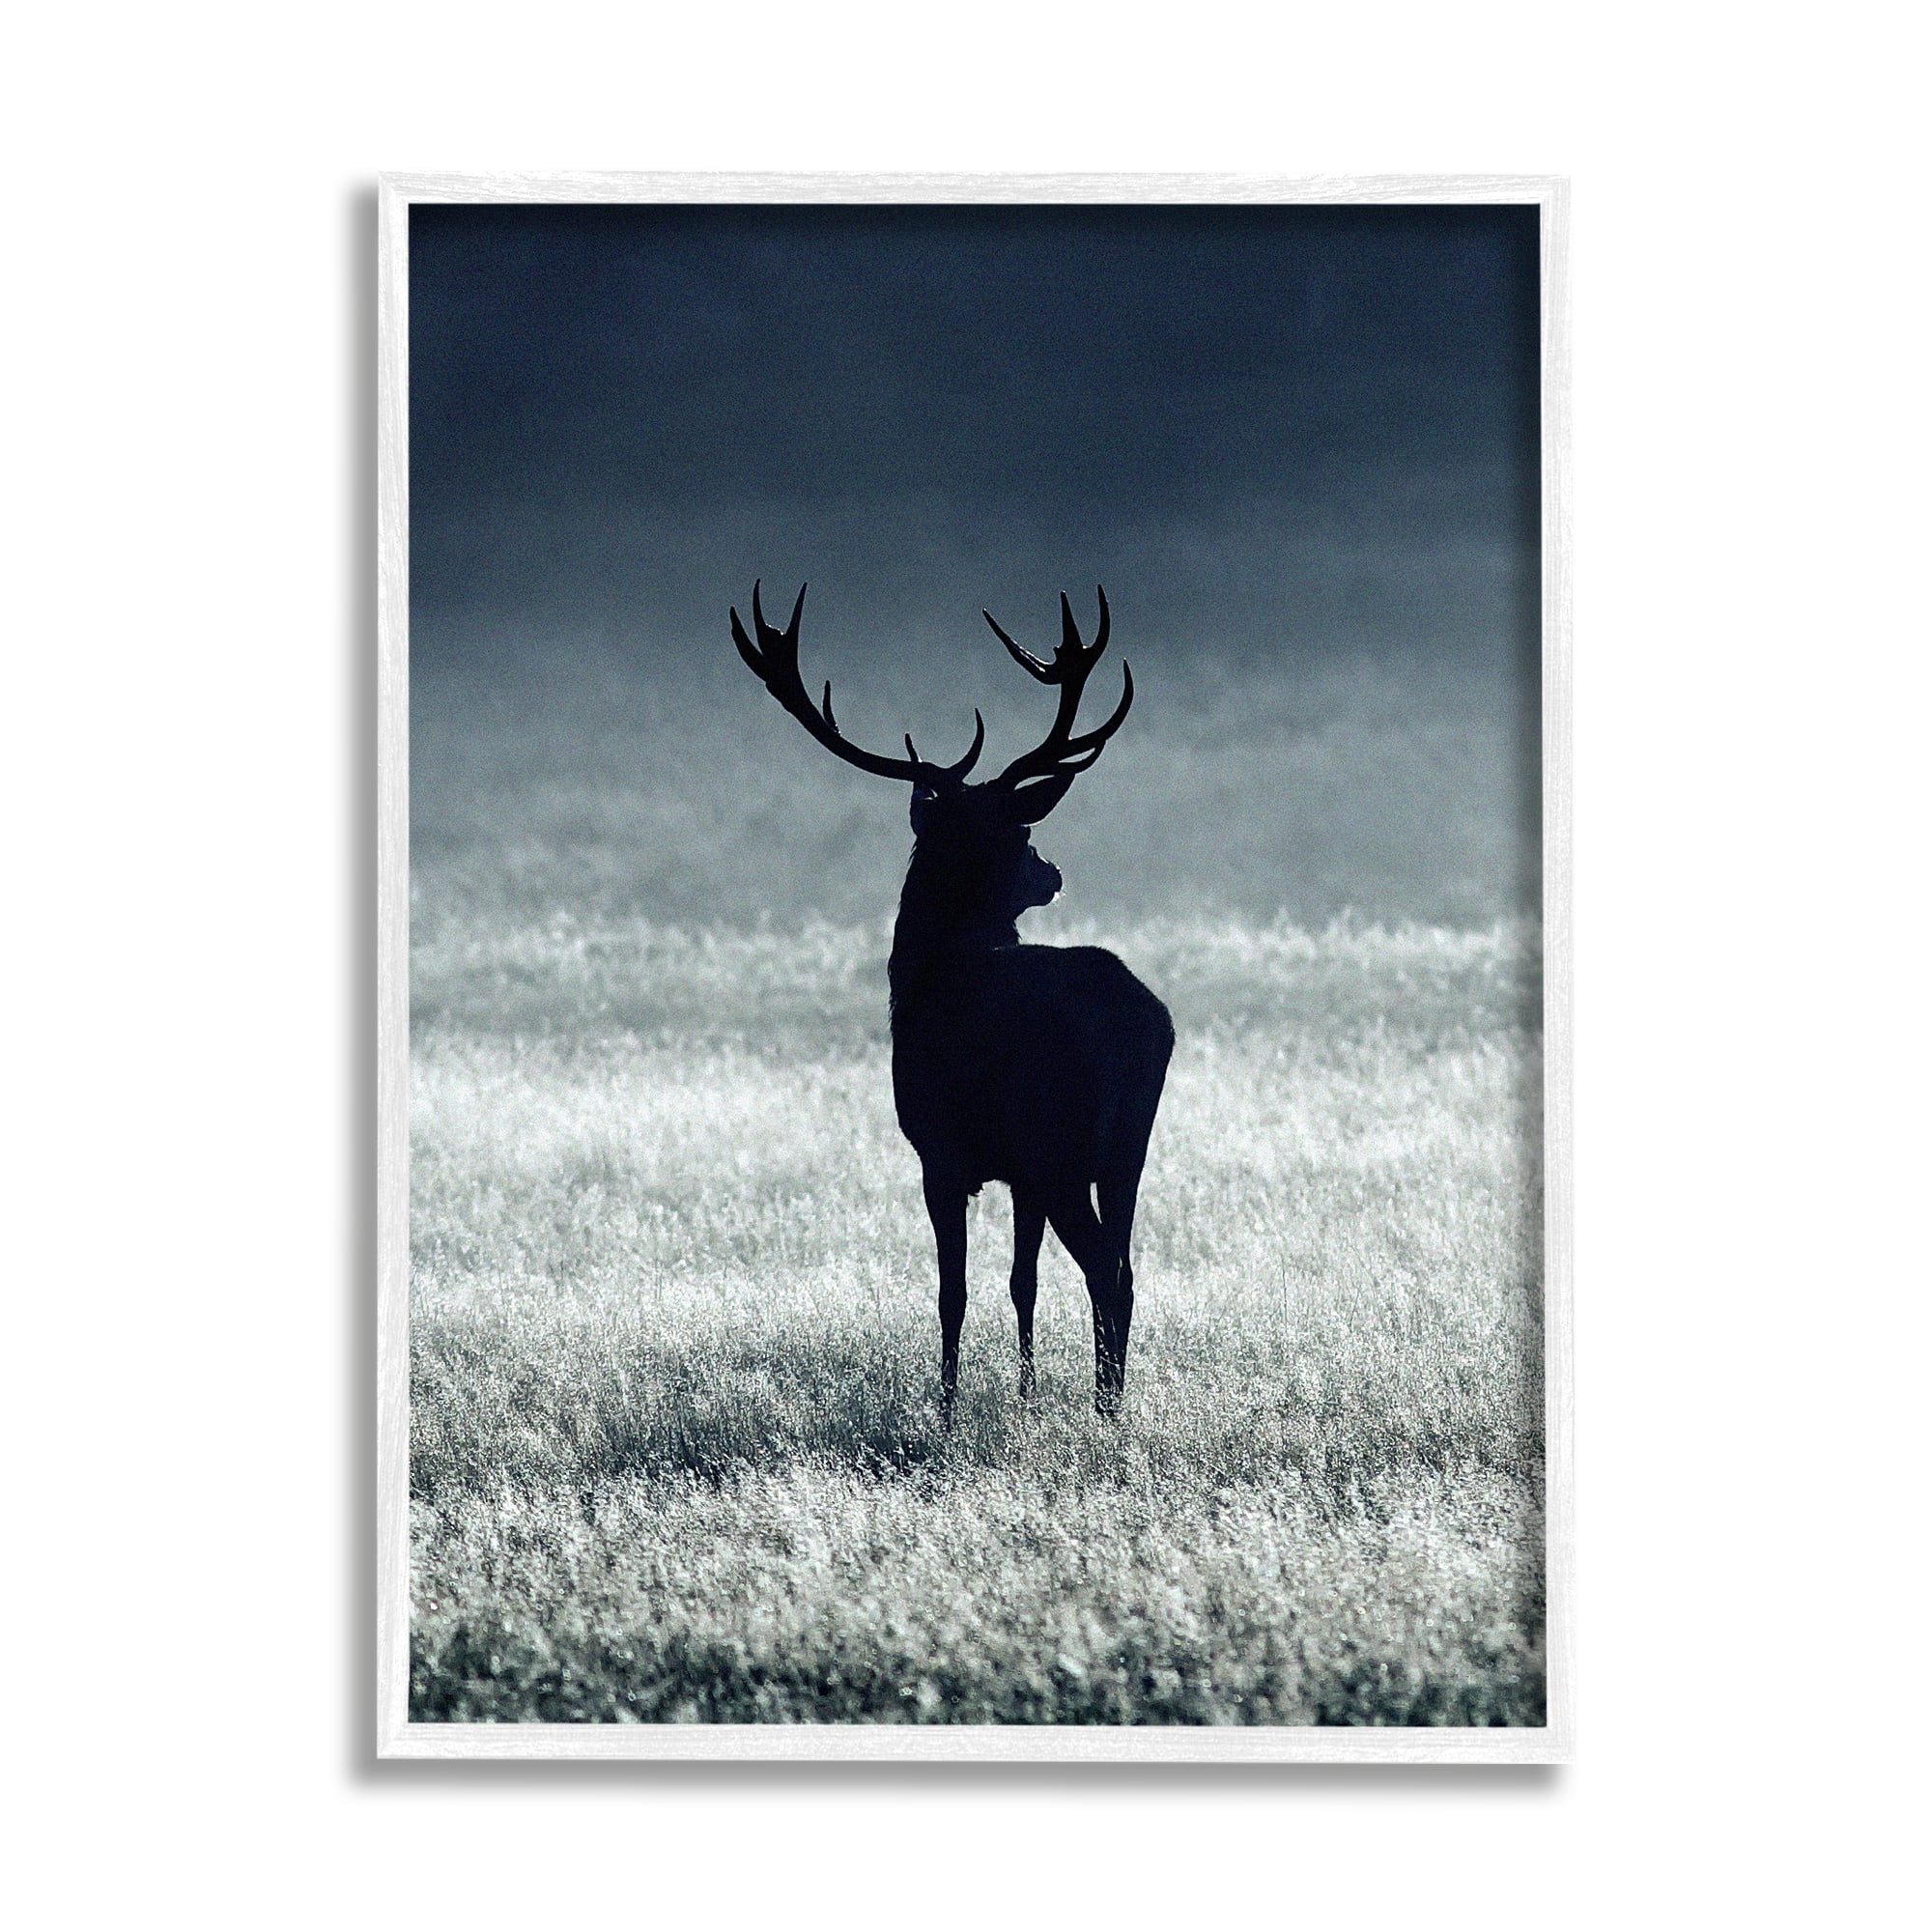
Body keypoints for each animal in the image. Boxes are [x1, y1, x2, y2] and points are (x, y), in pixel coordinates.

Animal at [732, 581, 1173, 1417]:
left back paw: (1106, 1411)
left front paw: (944, 1409)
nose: (1052, 872)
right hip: (1126, 1146)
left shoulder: (940, 1151)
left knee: (1105, 1269)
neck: (923, 976)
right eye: (1023, 835)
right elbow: (1021, 1281)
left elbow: (953, 1292)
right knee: (1127, 1266)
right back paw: (1110, 1399)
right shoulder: (1017, 1172)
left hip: (1060, 1142)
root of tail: (1144, 1022)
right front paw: (1027, 1394)